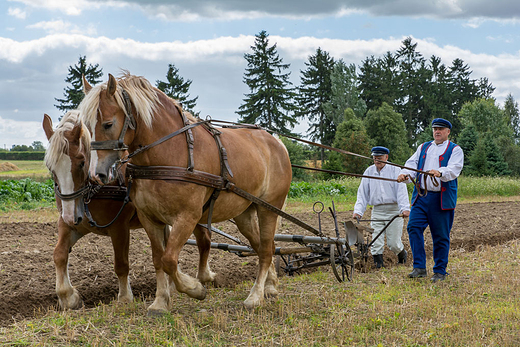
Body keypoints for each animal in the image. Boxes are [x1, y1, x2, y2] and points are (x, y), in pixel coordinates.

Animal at [42, 111, 216, 310]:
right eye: (51, 167)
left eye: (81, 162)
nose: (71, 215)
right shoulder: (71, 225)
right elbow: (59, 254)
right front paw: (68, 296)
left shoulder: (119, 227)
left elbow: (121, 264)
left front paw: (125, 297)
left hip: (194, 214)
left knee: (204, 241)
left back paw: (204, 277)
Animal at [80, 72, 292, 314]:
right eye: (86, 125)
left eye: (108, 124)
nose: (96, 174)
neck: (168, 154)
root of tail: (277, 142)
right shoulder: (149, 218)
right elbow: (158, 259)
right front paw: (160, 302)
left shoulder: (187, 217)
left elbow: (170, 259)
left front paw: (195, 288)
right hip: (244, 214)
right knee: (264, 247)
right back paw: (271, 287)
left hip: (269, 208)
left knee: (266, 250)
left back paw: (255, 296)